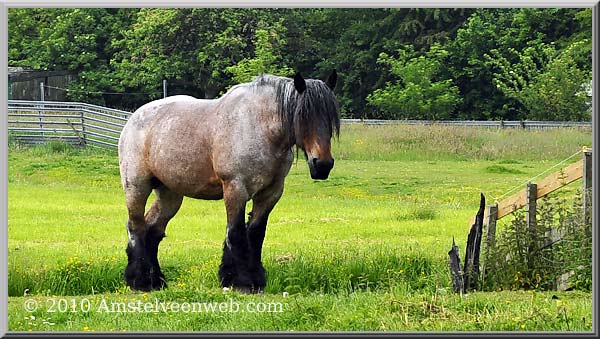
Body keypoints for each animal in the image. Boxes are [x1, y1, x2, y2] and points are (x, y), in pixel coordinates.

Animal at [119, 71, 340, 292]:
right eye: (303, 116)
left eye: (330, 118)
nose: (323, 164)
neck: (258, 126)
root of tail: (133, 119)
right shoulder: (235, 188)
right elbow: (236, 233)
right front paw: (240, 281)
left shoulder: (271, 193)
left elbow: (256, 233)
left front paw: (256, 279)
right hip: (137, 187)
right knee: (136, 226)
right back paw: (139, 280)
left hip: (169, 194)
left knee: (152, 230)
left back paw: (156, 280)